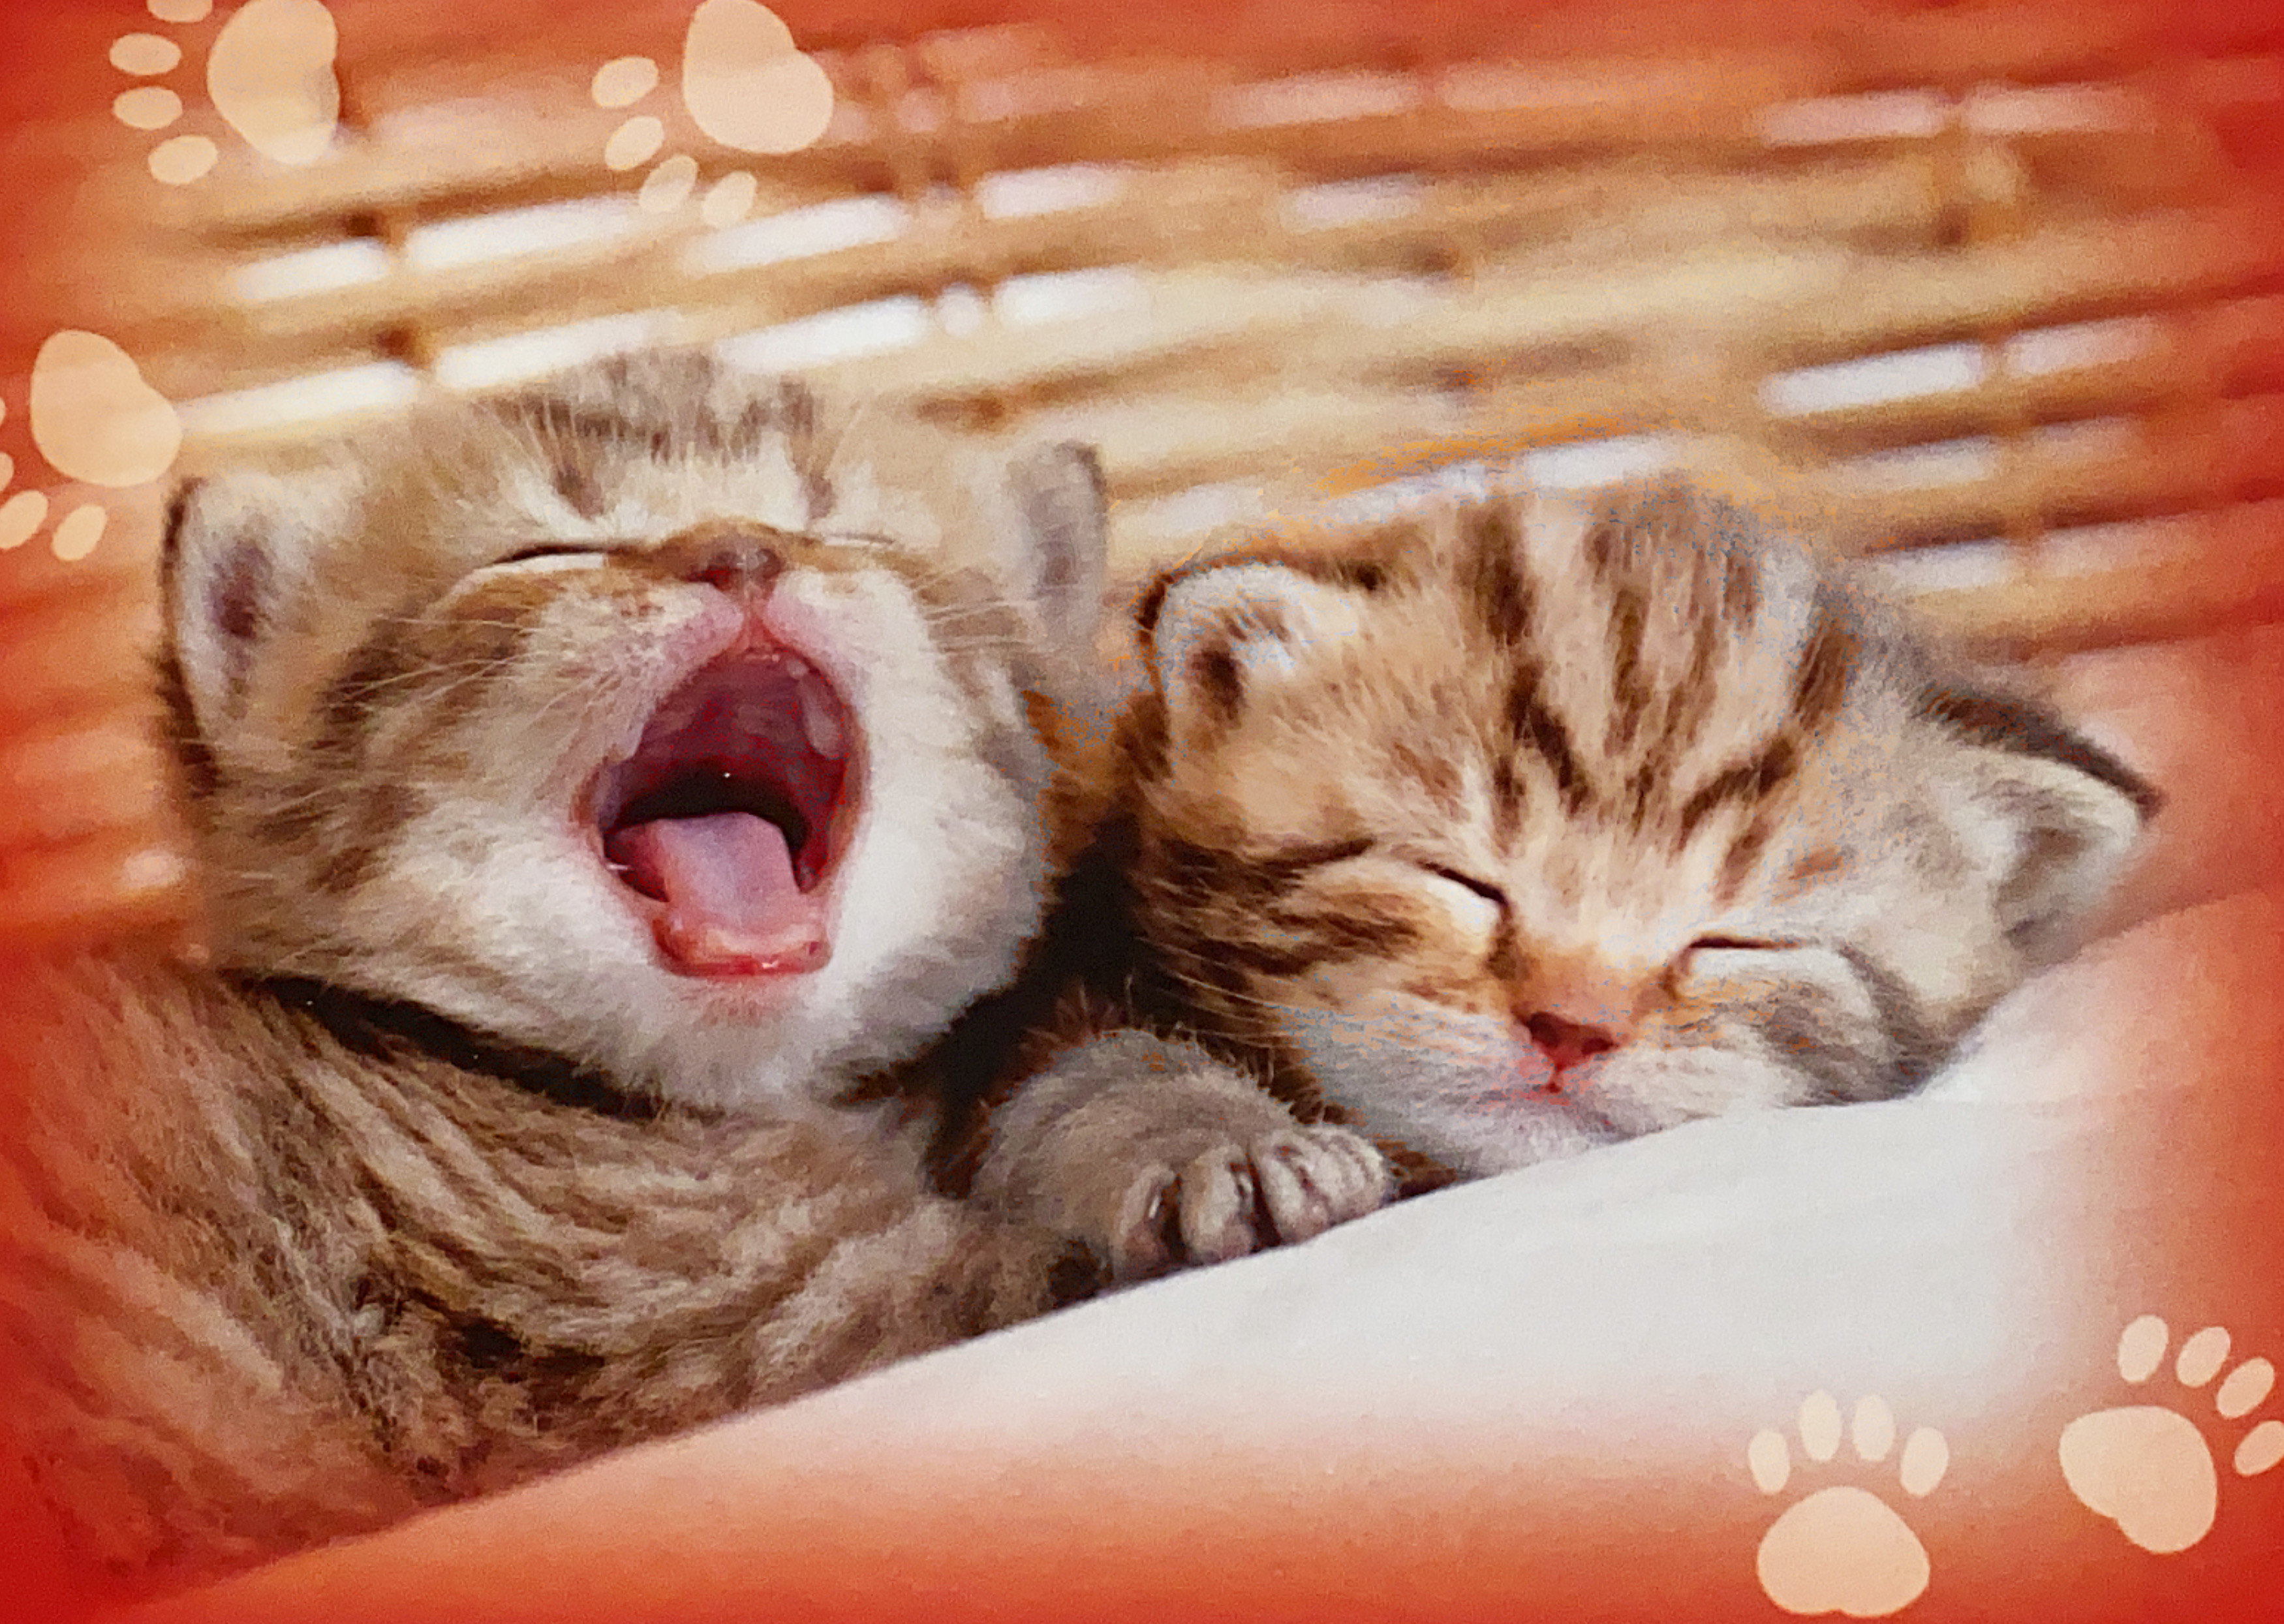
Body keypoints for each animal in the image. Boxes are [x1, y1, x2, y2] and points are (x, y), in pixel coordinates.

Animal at [0, 350, 1263, 1592]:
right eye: (540, 554)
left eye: (848, 534)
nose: (739, 553)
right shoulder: (710, 1331)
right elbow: (1023, 1279)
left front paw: (1197, 1140)